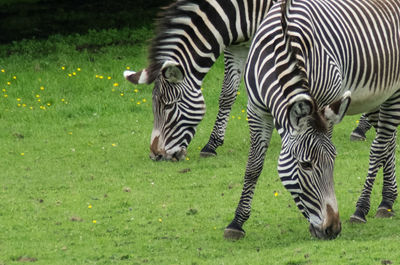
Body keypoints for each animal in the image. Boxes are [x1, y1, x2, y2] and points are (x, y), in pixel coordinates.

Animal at [124, 0, 276, 160]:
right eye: (153, 106)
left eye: (168, 106)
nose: (155, 156)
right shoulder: (236, 47)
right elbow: (227, 95)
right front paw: (211, 144)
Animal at [225, 0, 400, 239]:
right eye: (305, 164)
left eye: (334, 161)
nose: (333, 229)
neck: (282, 48)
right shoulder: (256, 110)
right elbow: (253, 167)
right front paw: (236, 223)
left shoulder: (327, 101)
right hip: (376, 96)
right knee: (388, 141)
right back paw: (387, 201)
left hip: (394, 91)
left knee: (380, 147)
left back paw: (362, 208)